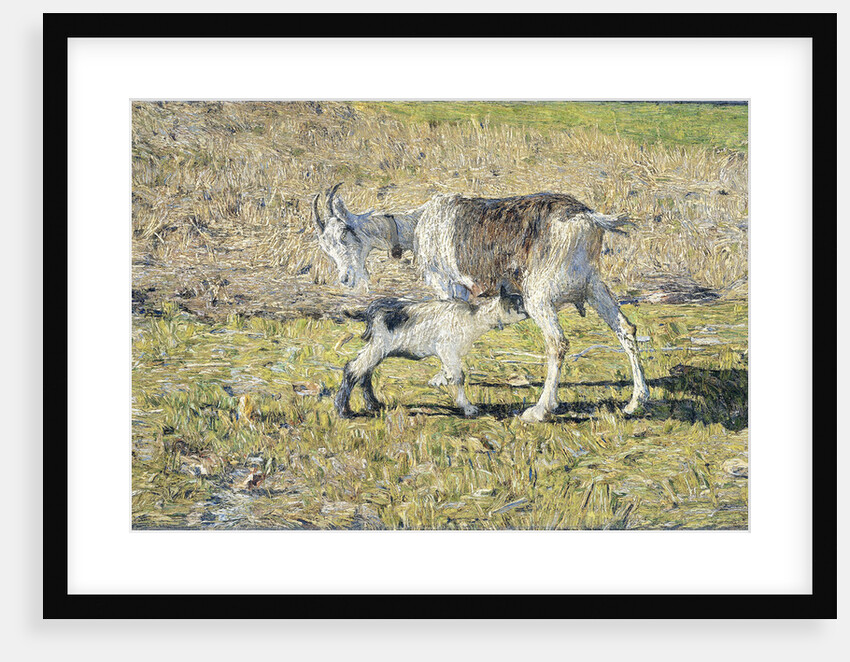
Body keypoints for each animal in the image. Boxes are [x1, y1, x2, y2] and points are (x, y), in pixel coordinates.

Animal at [334, 287, 527, 418]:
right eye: (519, 304)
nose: (530, 312)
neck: (473, 318)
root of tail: (369, 310)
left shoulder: (447, 354)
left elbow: (448, 371)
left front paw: (438, 380)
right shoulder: (448, 349)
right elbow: (459, 377)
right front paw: (467, 407)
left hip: (377, 348)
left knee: (364, 372)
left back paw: (374, 405)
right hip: (379, 346)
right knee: (353, 369)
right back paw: (344, 411)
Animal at [413, 192, 650, 422]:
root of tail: (585, 217)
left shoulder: (448, 287)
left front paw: (442, 377)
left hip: (538, 298)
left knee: (558, 344)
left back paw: (540, 410)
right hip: (594, 288)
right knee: (626, 329)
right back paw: (636, 401)